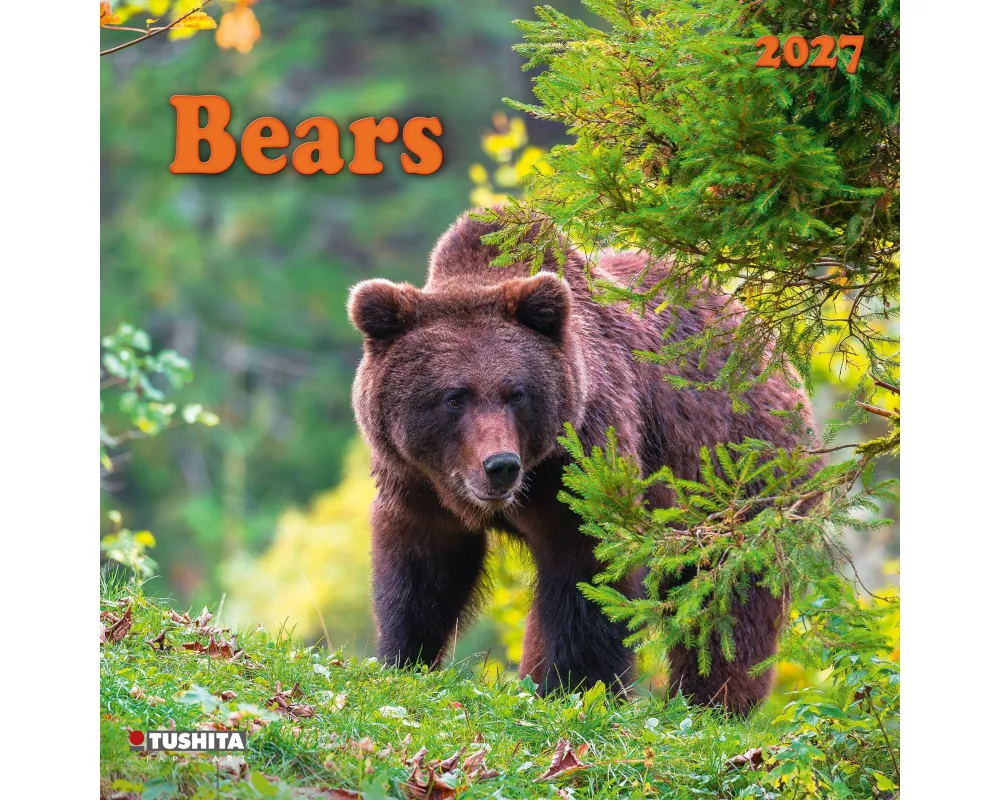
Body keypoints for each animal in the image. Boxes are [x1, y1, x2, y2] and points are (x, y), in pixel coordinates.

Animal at [347, 209, 817, 714]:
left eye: (516, 394)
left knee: (728, 596)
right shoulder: (416, 479)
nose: (500, 465)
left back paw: (711, 701)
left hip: (737, 474)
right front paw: (404, 658)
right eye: (454, 397)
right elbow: (421, 571)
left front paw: (575, 684)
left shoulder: (588, 459)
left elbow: (587, 572)